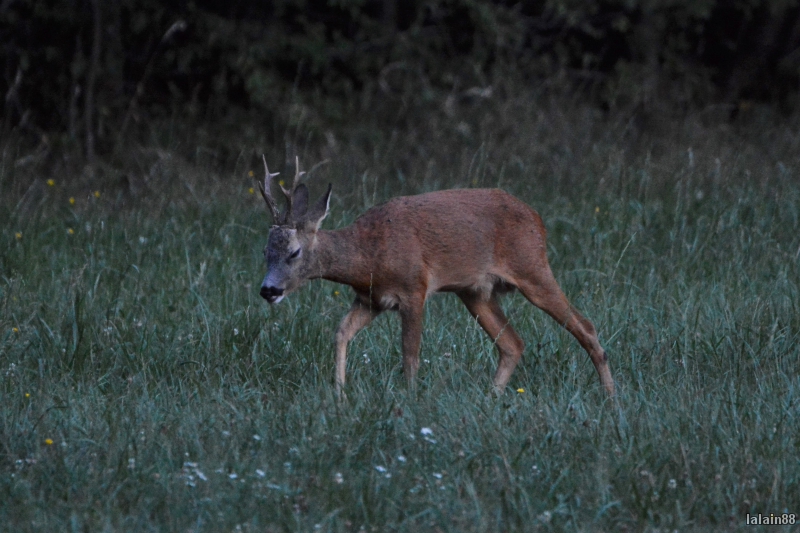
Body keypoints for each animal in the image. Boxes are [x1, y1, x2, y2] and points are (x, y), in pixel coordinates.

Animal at [256, 156, 612, 396]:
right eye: (265, 251)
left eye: (294, 252)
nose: (268, 290)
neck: (368, 256)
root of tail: (537, 218)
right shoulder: (370, 298)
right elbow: (341, 332)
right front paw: (339, 395)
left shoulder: (414, 288)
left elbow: (410, 355)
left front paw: (410, 399)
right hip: (476, 292)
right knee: (513, 343)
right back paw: (491, 398)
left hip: (533, 267)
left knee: (585, 326)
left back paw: (610, 398)